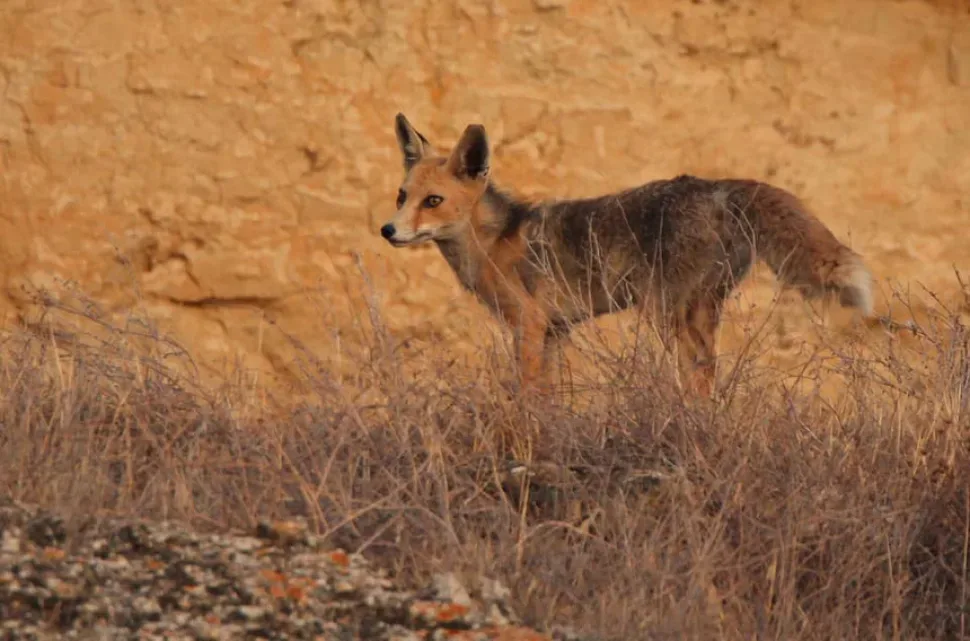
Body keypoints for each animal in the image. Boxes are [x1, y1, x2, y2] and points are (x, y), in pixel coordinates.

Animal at [379, 112, 876, 397]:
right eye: (401, 196)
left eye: (433, 202)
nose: (388, 230)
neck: (497, 242)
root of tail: (717, 186)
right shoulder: (556, 331)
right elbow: (551, 399)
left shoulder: (529, 326)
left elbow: (527, 397)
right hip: (699, 312)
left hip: (669, 315)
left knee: (698, 381)